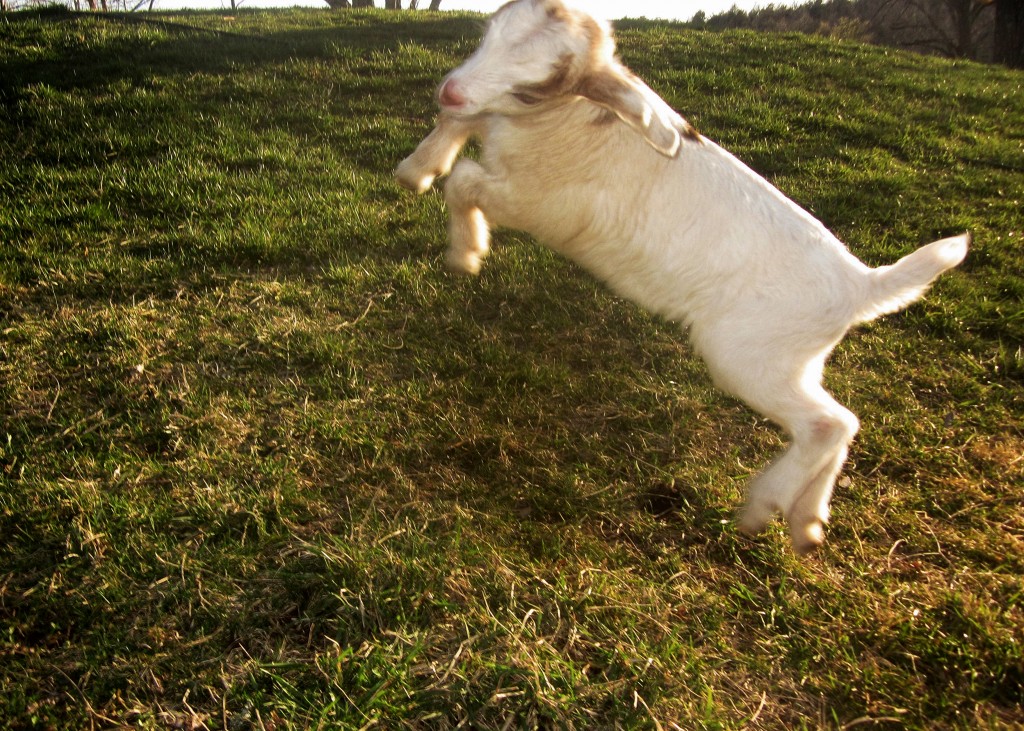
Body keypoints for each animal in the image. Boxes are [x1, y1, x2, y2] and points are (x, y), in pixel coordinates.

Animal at [391, 0, 966, 548]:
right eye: (489, 35)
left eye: (537, 89)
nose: (450, 90)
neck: (574, 118)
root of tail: (863, 284)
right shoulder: (493, 121)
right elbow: (461, 129)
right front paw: (417, 169)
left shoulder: (536, 204)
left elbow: (464, 183)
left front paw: (465, 253)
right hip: (797, 359)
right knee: (842, 423)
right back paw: (806, 522)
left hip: (749, 354)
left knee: (828, 424)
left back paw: (764, 506)